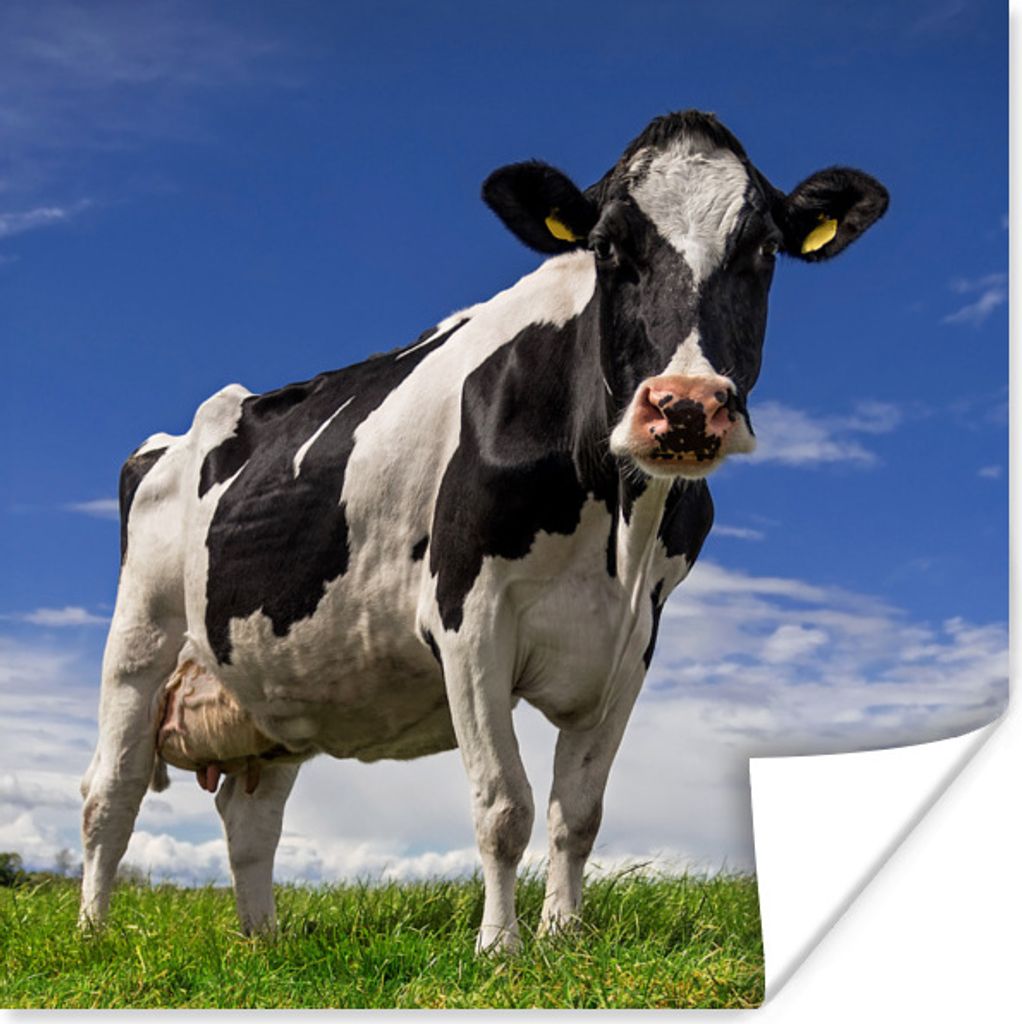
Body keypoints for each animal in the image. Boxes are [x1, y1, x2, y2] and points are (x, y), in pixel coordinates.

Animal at [79, 110, 887, 952]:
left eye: (762, 249)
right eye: (608, 247)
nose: (686, 407)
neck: (617, 527)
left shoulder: (633, 637)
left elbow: (578, 812)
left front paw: (565, 937)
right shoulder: (469, 613)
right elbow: (505, 803)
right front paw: (500, 947)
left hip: (274, 684)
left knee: (251, 814)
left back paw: (262, 943)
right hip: (140, 638)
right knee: (112, 793)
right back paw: (94, 933)